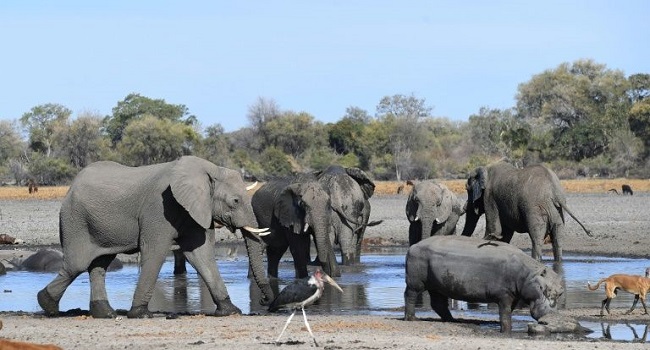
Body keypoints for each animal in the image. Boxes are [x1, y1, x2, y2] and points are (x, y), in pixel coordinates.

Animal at [36, 154, 268, 318]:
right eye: (235, 201)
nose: (265, 301)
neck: (208, 169)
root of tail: (71, 187)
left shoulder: (193, 210)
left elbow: (200, 255)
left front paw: (230, 311)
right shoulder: (159, 208)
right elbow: (155, 251)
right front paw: (140, 314)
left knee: (99, 265)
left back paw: (105, 314)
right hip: (75, 220)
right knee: (76, 264)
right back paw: (47, 305)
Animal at [404, 235, 560, 334]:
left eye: (560, 293)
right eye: (543, 289)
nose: (551, 314)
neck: (528, 274)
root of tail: (413, 245)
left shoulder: (515, 295)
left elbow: (509, 312)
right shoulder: (504, 295)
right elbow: (505, 313)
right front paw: (506, 331)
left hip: (438, 285)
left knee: (438, 303)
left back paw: (452, 320)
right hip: (416, 282)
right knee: (410, 296)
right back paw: (411, 318)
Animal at [458, 163, 588, 262]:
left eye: (467, 189)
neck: (486, 168)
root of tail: (554, 191)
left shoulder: (489, 197)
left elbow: (494, 230)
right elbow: (505, 234)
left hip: (534, 209)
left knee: (536, 238)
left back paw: (536, 260)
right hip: (557, 212)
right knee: (558, 239)